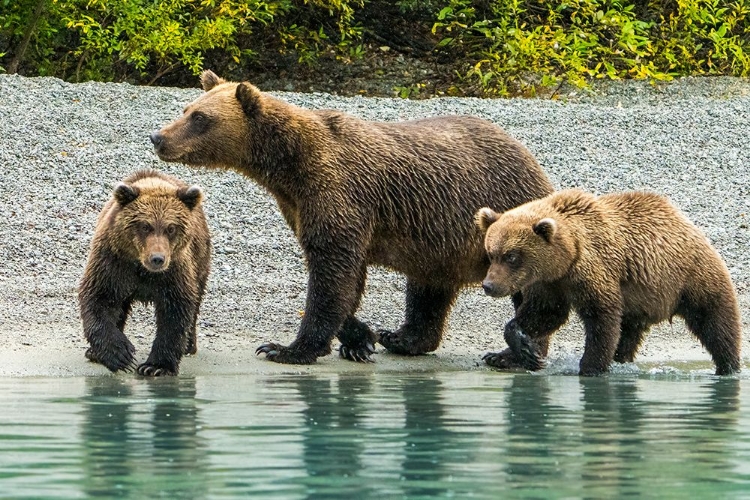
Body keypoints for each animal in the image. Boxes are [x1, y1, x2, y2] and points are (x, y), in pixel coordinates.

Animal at [150, 69, 556, 364]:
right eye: (186, 109)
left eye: (200, 117)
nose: (158, 136)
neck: (289, 168)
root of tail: (529, 156)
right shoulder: (303, 205)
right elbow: (344, 275)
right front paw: (362, 338)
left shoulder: (339, 193)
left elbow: (333, 271)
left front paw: (287, 348)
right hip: (441, 238)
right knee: (428, 286)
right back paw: (403, 337)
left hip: (507, 211)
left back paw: (515, 354)